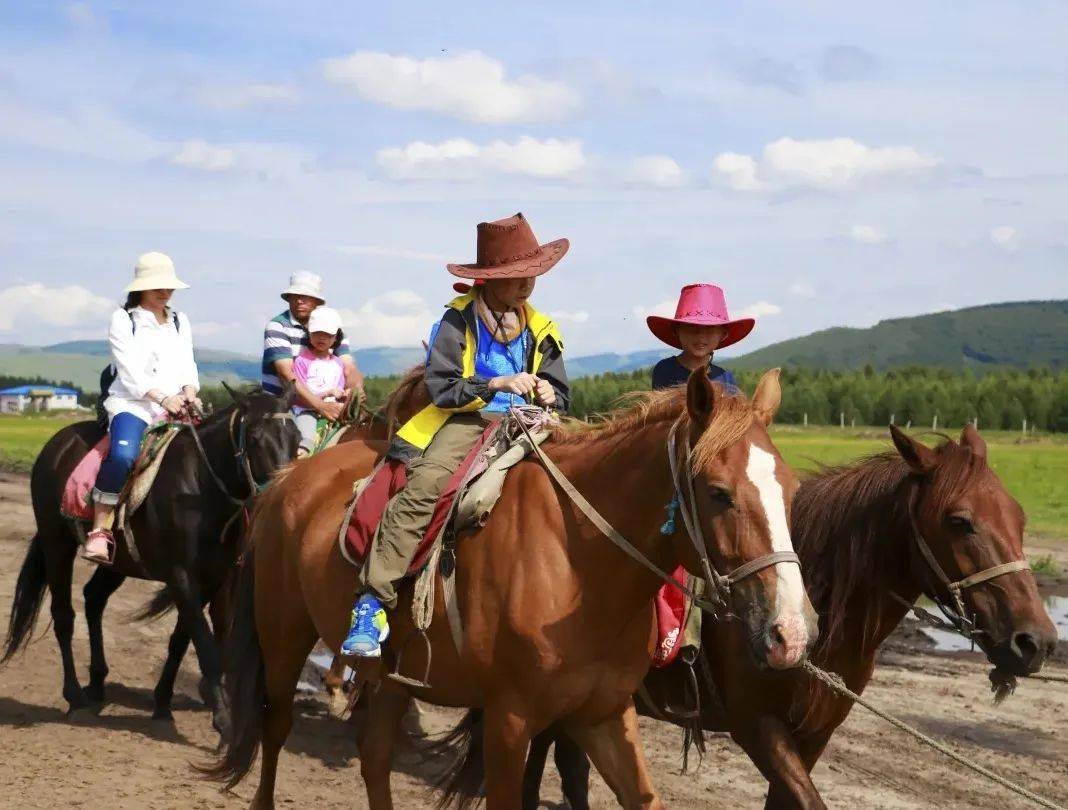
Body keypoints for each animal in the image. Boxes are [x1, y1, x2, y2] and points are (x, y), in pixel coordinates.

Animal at [2, 388, 301, 735]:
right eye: (254, 437)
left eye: (296, 438)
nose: (281, 496)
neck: (201, 487)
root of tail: (57, 444)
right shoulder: (182, 577)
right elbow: (204, 643)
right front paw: (224, 718)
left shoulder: (214, 579)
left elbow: (183, 640)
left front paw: (162, 705)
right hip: (56, 543)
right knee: (64, 616)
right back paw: (76, 699)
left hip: (118, 561)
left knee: (94, 598)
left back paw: (97, 684)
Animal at [203, 371, 811, 807]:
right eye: (718, 493)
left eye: (791, 489)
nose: (791, 633)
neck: (580, 563)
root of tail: (287, 480)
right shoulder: (510, 721)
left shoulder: (603, 716)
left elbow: (642, 797)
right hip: (283, 635)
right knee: (274, 727)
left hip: (392, 673)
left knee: (373, 755)